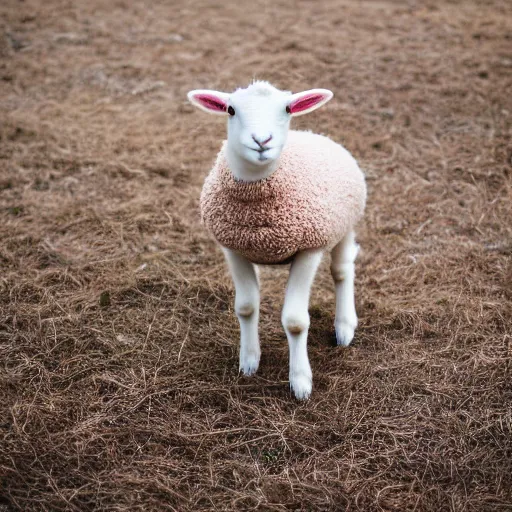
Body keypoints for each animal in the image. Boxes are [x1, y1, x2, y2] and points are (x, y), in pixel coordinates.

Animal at [187, 81, 364, 400]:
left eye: (288, 108)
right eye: (230, 109)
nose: (262, 140)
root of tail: (313, 134)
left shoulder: (310, 248)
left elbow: (295, 321)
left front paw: (300, 381)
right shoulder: (233, 247)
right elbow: (246, 307)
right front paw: (248, 362)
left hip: (345, 225)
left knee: (342, 270)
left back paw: (345, 326)